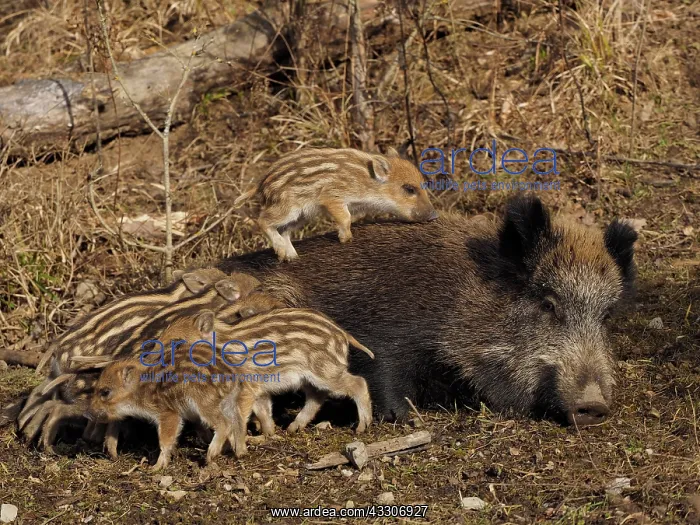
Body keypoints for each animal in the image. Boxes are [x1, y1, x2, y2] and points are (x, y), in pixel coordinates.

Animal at [233, 147, 438, 261]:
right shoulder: (332, 197)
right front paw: (346, 239)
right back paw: (281, 251)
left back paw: (291, 257)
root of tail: (262, 182)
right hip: (287, 207)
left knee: (285, 230)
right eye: (409, 189)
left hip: (302, 215)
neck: (367, 183)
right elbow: (345, 217)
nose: (434, 215)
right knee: (263, 220)